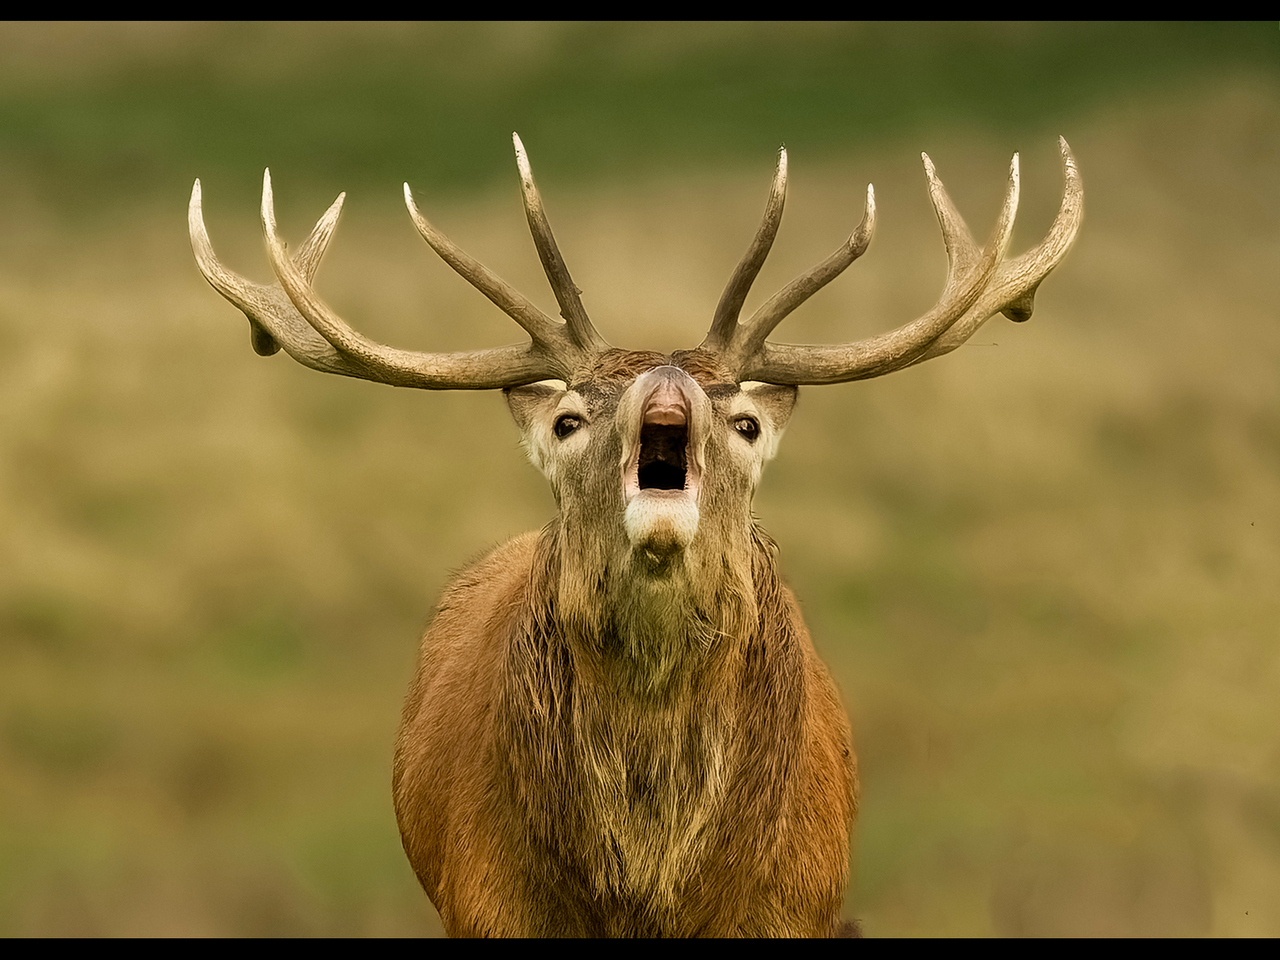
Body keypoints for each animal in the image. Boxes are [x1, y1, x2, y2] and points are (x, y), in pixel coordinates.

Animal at [188, 134, 1082, 937]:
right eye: (568, 420)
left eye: (746, 422)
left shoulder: (794, 901)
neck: (648, 887)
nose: (665, 381)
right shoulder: (487, 899)